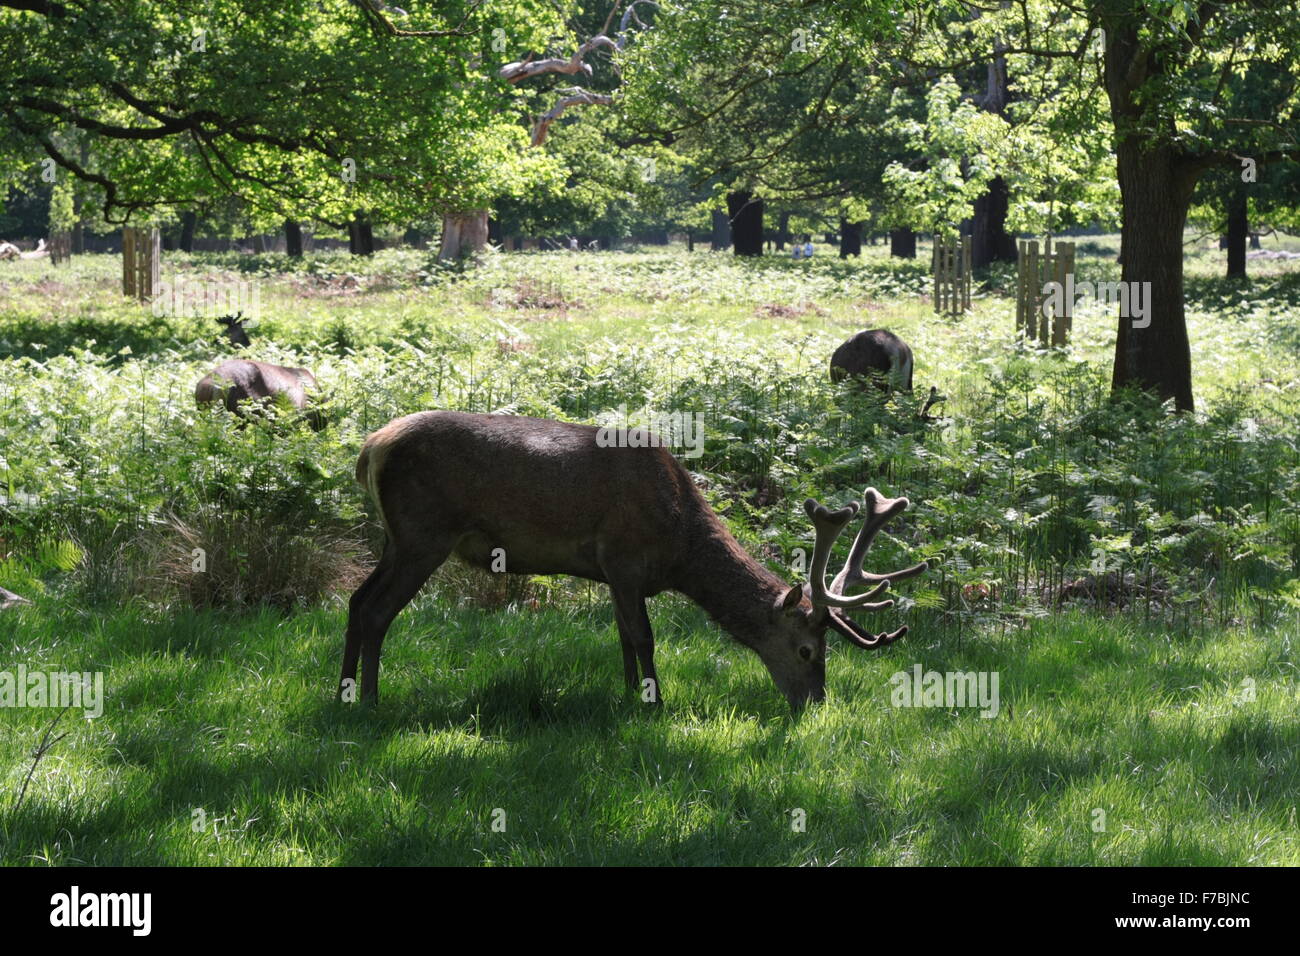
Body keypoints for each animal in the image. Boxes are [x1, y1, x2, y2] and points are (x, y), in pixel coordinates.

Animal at [339, 411, 929, 712]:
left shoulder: (609, 573)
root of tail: (371, 448)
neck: (679, 547)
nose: (815, 703)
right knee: (377, 611)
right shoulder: (622, 557)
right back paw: (370, 700)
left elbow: (622, 635)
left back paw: (342, 693)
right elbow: (643, 637)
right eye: (807, 650)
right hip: (423, 534)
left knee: (355, 601)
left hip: (397, 539)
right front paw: (654, 703)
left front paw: (626, 695)